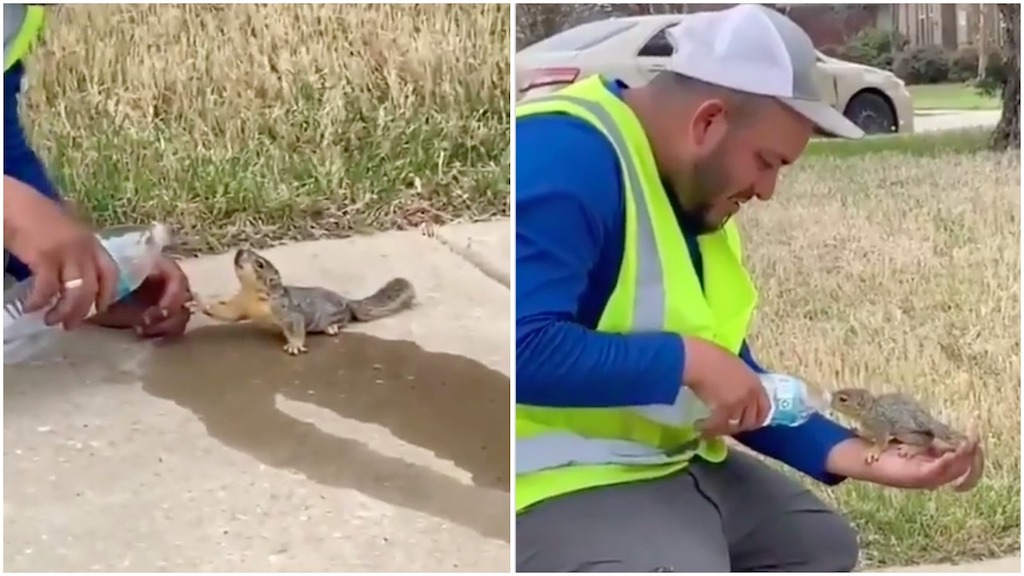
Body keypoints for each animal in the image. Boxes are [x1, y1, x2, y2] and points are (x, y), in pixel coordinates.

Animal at [190, 243, 413, 352]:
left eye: (260, 264)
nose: (240, 251)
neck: (251, 292)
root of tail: (346, 301)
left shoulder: (286, 311)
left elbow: (296, 325)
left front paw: (295, 345)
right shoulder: (240, 304)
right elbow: (227, 313)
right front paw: (198, 303)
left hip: (332, 315)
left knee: (344, 320)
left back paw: (332, 327)